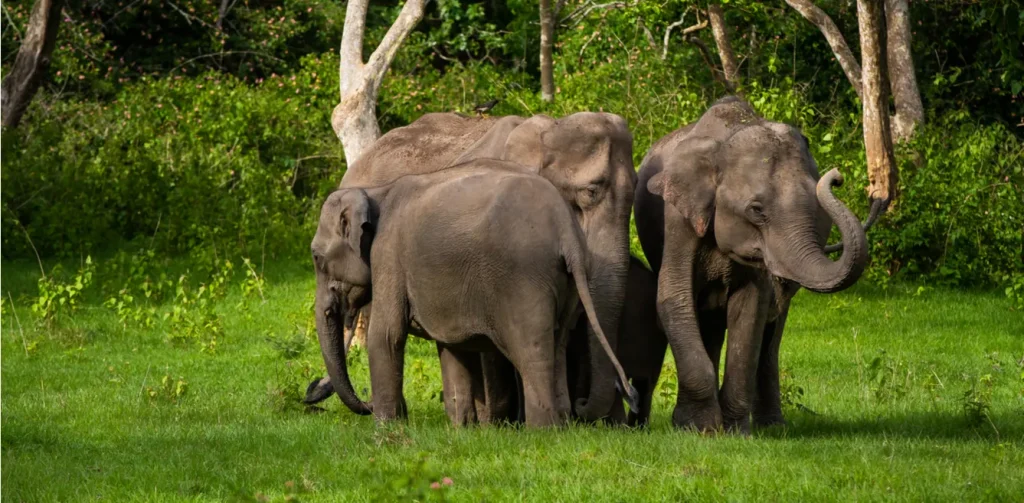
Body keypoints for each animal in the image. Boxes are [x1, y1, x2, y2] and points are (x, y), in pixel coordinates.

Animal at [634, 96, 868, 434]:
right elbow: (674, 298)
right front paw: (699, 429)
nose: (836, 177)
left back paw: (773, 427)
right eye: (756, 210)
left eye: (817, 209)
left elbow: (751, 310)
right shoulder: (677, 220)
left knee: (769, 340)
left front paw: (735, 431)